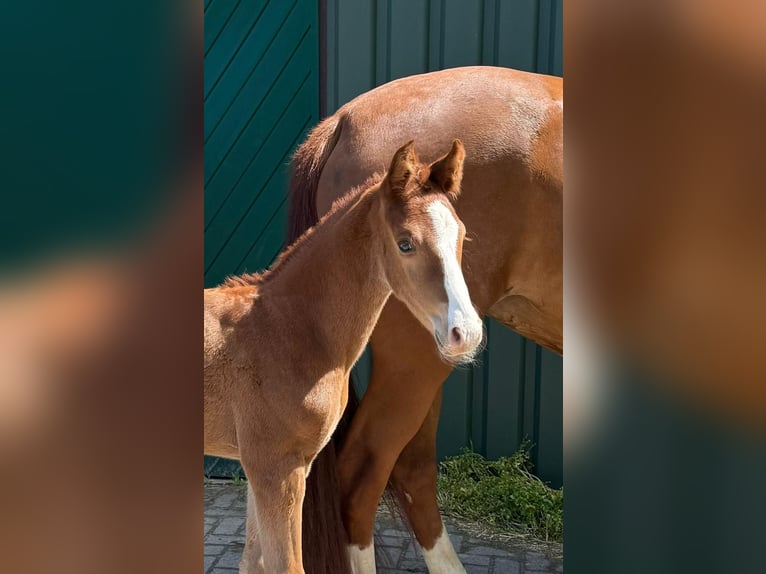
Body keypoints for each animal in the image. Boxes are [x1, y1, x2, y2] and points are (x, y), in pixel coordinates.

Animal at [204, 140, 483, 573]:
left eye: (462, 235)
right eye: (406, 243)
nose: (465, 332)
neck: (288, 327)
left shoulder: (262, 469)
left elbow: (254, 562)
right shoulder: (277, 468)